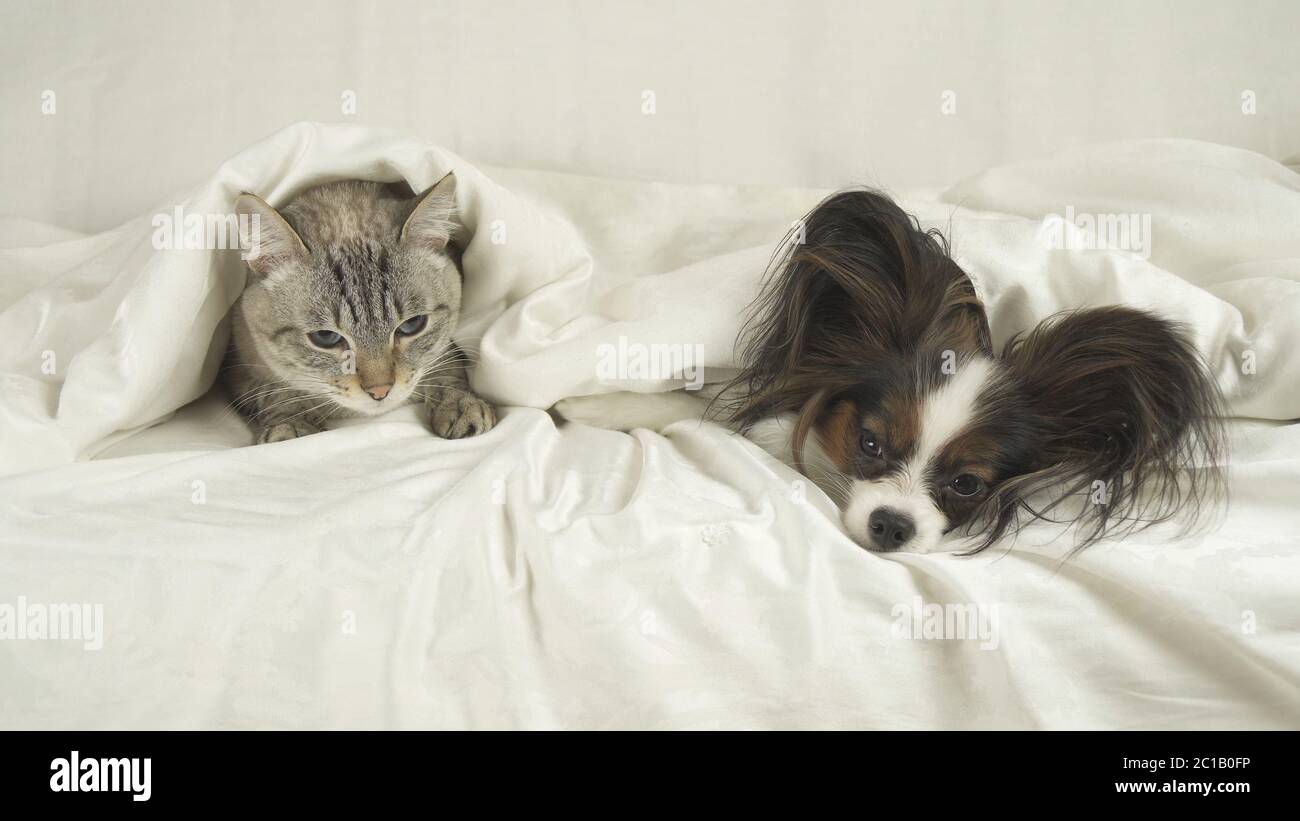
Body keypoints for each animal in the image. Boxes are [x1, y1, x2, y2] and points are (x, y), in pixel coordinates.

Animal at [220, 171, 493, 441]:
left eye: (412, 325)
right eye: (325, 337)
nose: (380, 391)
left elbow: (445, 363)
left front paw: (460, 402)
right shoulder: (239, 371)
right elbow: (276, 392)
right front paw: (290, 425)